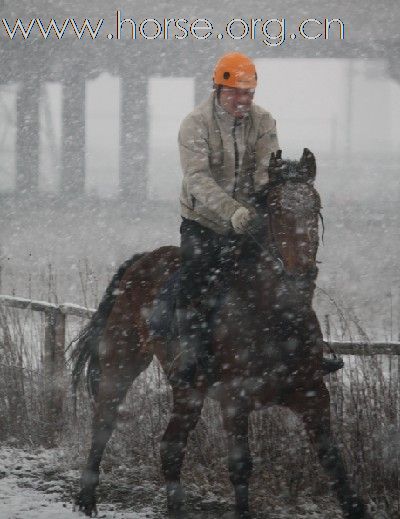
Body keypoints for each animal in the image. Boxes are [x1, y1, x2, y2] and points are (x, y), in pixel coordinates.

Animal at [70, 148, 370, 516]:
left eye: (315, 207)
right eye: (277, 210)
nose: (303, 274)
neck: (274, 318)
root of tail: (140, 262)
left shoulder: (312, 395)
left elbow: (334, 462)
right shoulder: (235, 401)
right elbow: (240, 467)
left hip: (188, 391)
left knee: (170, 446)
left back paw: (175, 508)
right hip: (122, 362)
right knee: (104, 421)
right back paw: (87, 497)